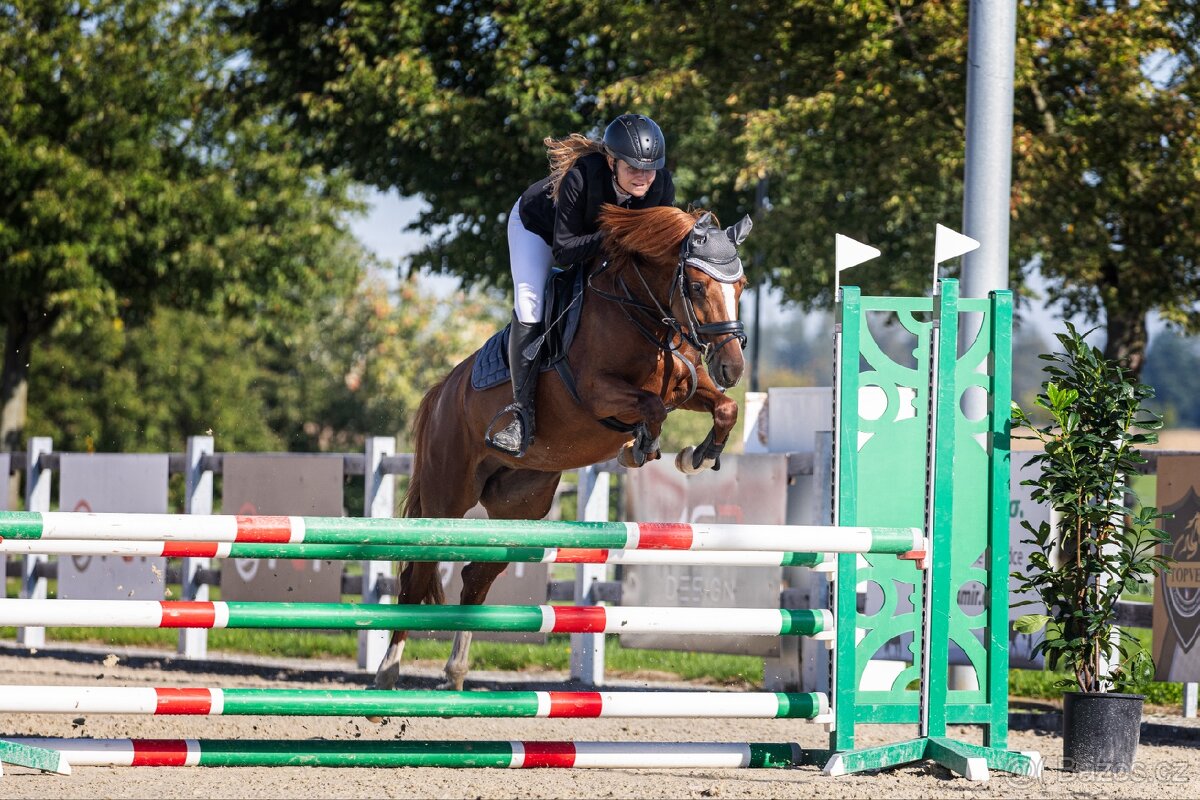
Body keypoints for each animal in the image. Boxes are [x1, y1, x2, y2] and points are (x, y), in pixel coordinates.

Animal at [374, 203, 752, 691]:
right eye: (698, 285)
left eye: (741, 286)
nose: (732, 368)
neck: (643, 314)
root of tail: (444, 389)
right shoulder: (599, 394)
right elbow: (652, 408)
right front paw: (640, 447)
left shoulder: (690, 385)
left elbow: (724, 408)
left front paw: (696, 456)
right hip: (447, 498)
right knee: (416, 575)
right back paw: (388, 670)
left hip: (522, 508)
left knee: (475, 576)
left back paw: (455, 674)